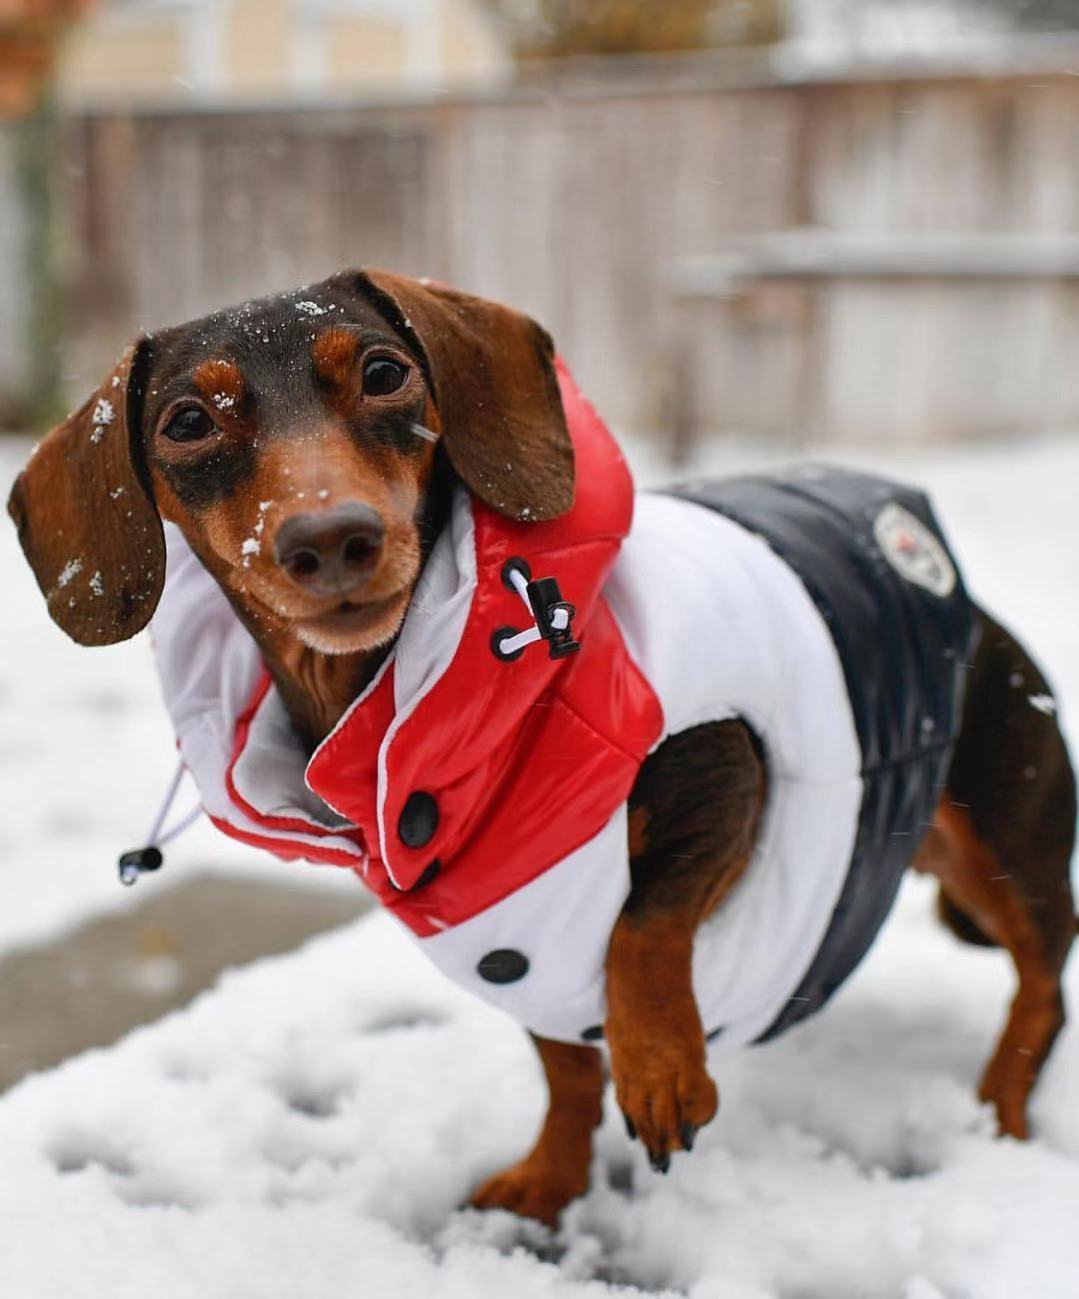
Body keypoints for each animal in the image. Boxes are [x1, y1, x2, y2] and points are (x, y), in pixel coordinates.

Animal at [8, 271, 1079, 1226]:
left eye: (387, 372)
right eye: (187, 423)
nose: (331, 538)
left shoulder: (726, 761)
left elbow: (640, 928)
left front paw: (660, 1070)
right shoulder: (519, 946)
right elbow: (565, 1068)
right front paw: (551, 1178)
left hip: (1005, 849)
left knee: (1043, 980)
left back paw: (999, 1104)